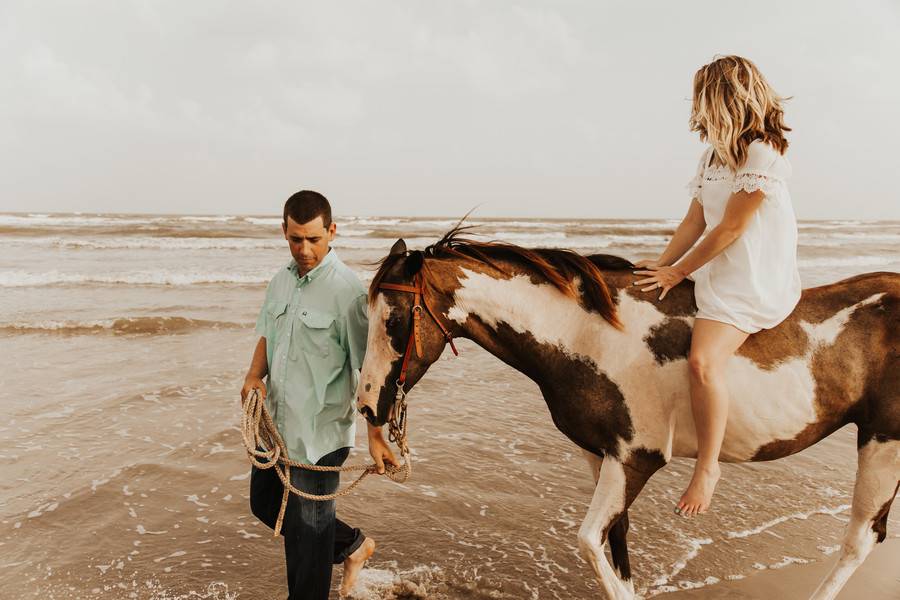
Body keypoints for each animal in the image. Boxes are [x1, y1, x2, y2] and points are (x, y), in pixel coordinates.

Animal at [356, 226, 896, 600]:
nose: (367, 404)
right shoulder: (601, 456)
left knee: (859, 540)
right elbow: (615, 542)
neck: (589, 335)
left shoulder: (636, 458)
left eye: (395, 321)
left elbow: (589, 541)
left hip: (882, 443)